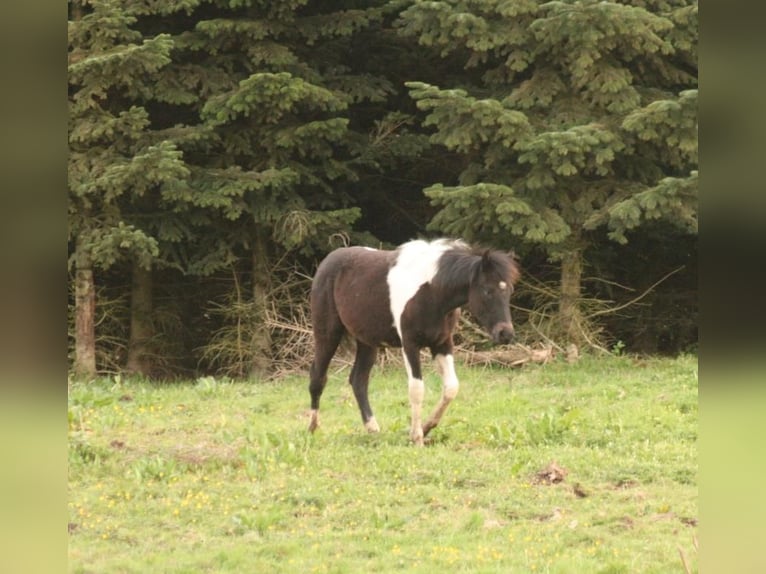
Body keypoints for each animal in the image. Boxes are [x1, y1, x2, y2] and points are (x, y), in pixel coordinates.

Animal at [306, 238, 520, 446]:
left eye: (509, 290)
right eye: (487, 291)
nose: (505, 333)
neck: (432, 293)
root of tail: (327, 261)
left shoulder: (442, 343)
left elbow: (451, 387)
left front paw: (427, 428)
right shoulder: (410, 345)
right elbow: (416, 389)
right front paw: (416, 437)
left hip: (367, 341)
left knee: (358, 380)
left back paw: (373, 429)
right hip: (328, 334)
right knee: (318, 376)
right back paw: (313, 428)